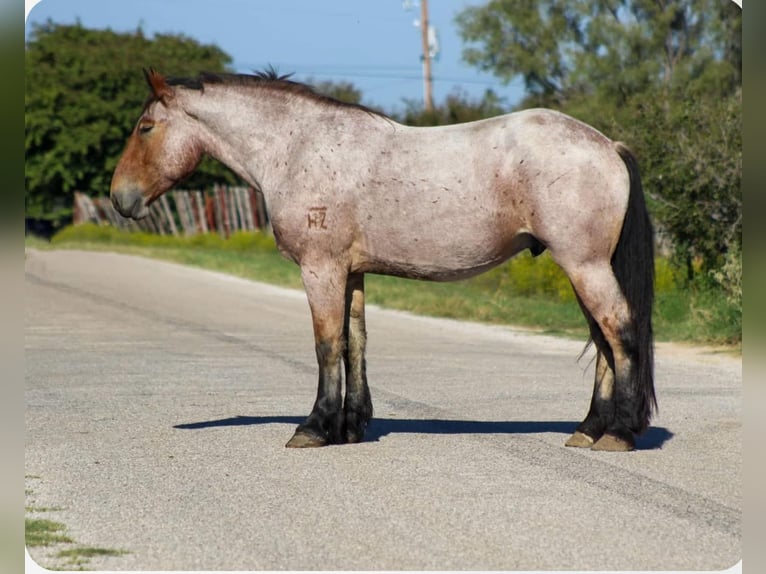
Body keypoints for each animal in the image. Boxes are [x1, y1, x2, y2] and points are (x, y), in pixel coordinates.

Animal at [111, 68, 656, 452]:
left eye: (145, 127)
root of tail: (607, 145)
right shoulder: (351, 273)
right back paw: (588, 429)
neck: (297, 147)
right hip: (584, 267)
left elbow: (327, 345)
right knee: (603, 341)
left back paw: (620, 433)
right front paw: (351, 426)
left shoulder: (321, 269)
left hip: (584, 265)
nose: (120, 199)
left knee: (621, 332)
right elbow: (356, 343)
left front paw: (314, 428)